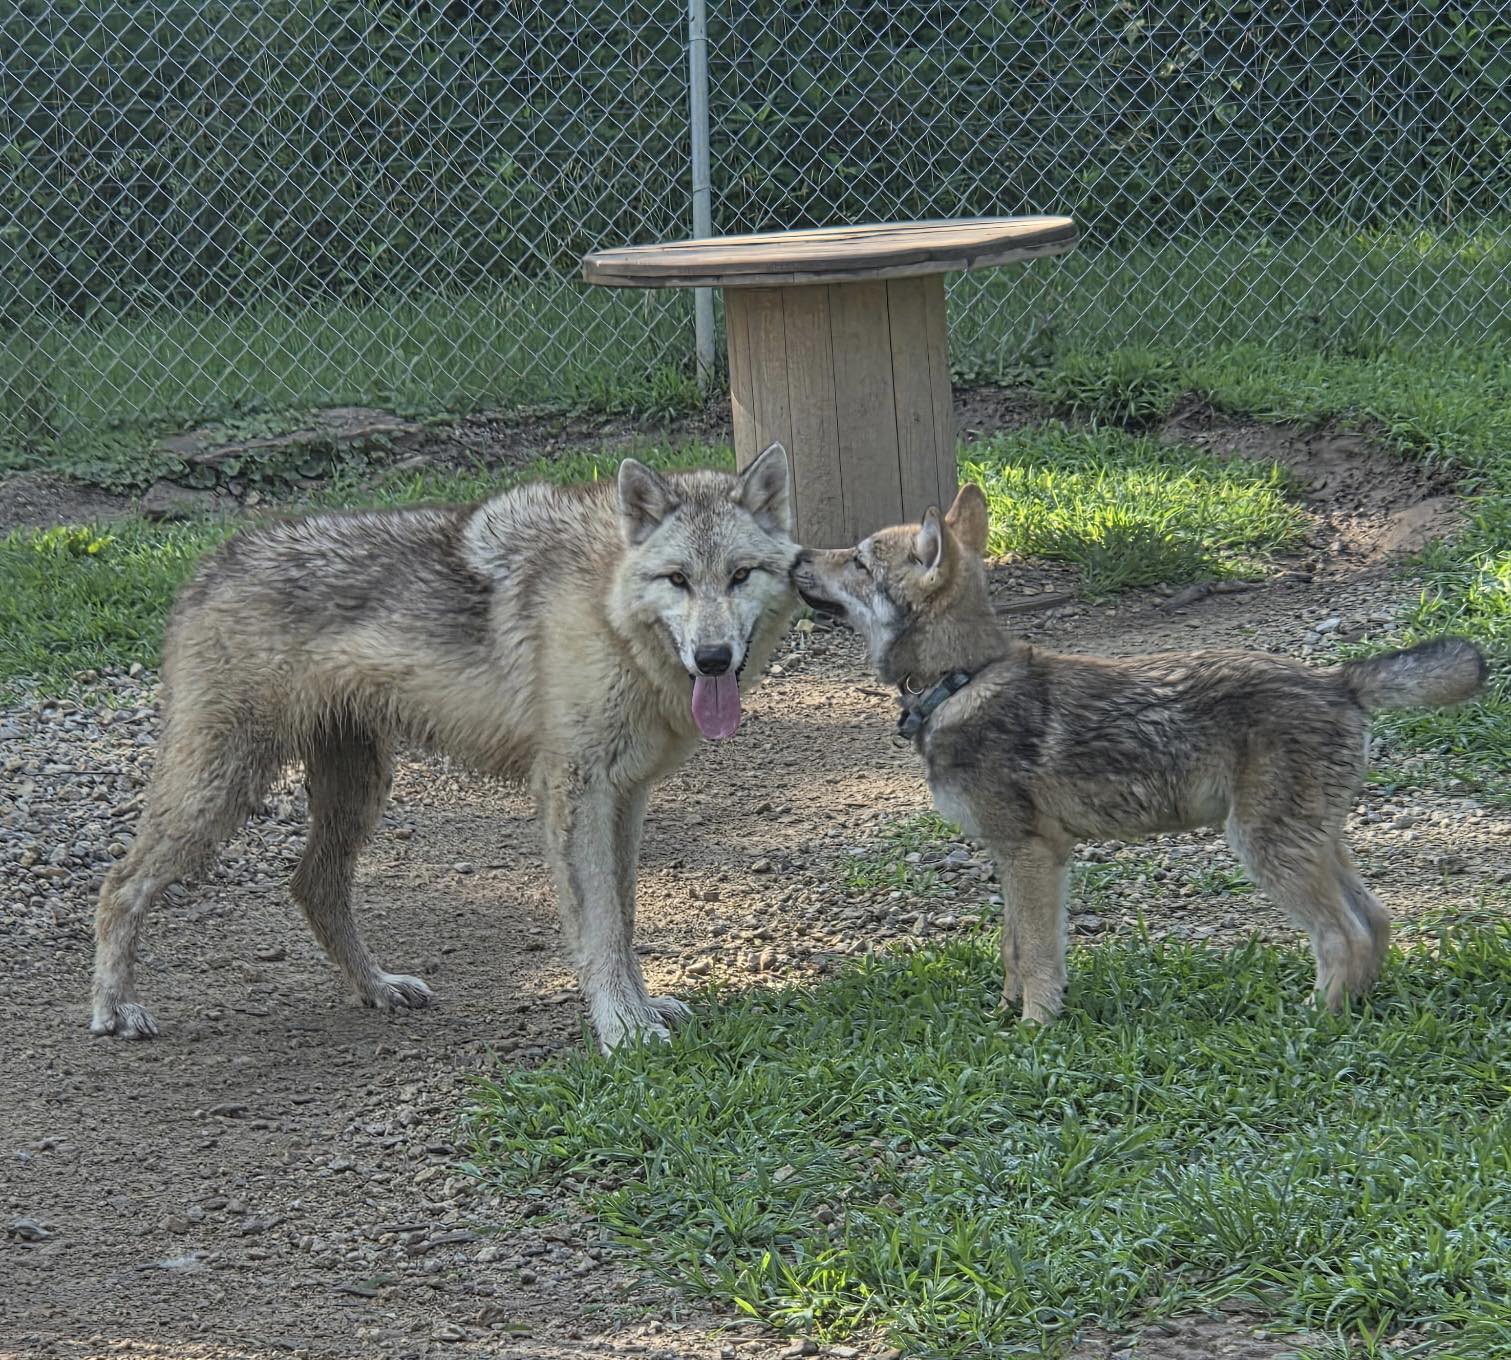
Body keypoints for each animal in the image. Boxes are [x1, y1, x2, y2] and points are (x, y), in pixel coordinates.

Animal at [91, 443, 798, 1051]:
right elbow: (599, 926)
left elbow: (622, 920)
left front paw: (642, 1008)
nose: (713, 658)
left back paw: (378, 988)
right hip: (222, 794)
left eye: (740, 576)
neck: (607, 605)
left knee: (313, 887)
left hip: (357, 790)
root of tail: (210, 564)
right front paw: (623, 1029)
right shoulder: (577, 792)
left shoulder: (626, 797)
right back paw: (114, 1008)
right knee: (119, 883)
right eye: (677, 579)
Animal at [792, 483, 1487, 1023]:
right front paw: (1003, 1014)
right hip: (1313, 845)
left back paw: (1315, 1023)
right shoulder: (1018, 856)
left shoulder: (1032, 855)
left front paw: (1034, 1028)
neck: (960, 681)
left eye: (858, 561)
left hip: (1265, 849)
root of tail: (1339, 681)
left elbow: (1037, 955)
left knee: (1343, 936)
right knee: (1377, 923)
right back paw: (1355, 1012)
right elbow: (1012, 949)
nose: (796, 553)